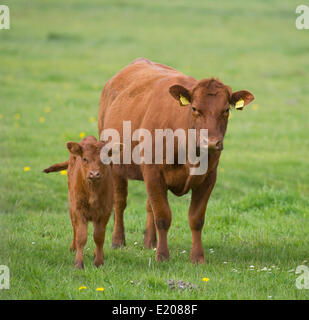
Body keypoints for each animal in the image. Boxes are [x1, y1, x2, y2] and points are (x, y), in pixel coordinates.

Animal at [42, 135, 112, 268]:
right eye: (84, 159)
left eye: (104, 158)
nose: (94, 174)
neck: (93, 191)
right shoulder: (78, 210)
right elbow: (81, 236)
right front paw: (78, 263)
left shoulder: (106, 211)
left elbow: (99, 236)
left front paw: (99, 261)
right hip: (71, 207)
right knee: (74, 227)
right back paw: (73, 248)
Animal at [98, 58, 253, 264]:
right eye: (195, 108)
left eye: (226, 110)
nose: (212, 142)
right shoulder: (153, 172)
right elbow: (163, 217)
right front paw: (163, 256)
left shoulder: (208, 177)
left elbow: (196, 219)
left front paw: (198, 258)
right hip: (114, 164)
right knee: (120, 202)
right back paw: (118, 241)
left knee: (149, 206)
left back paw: (150, 242)